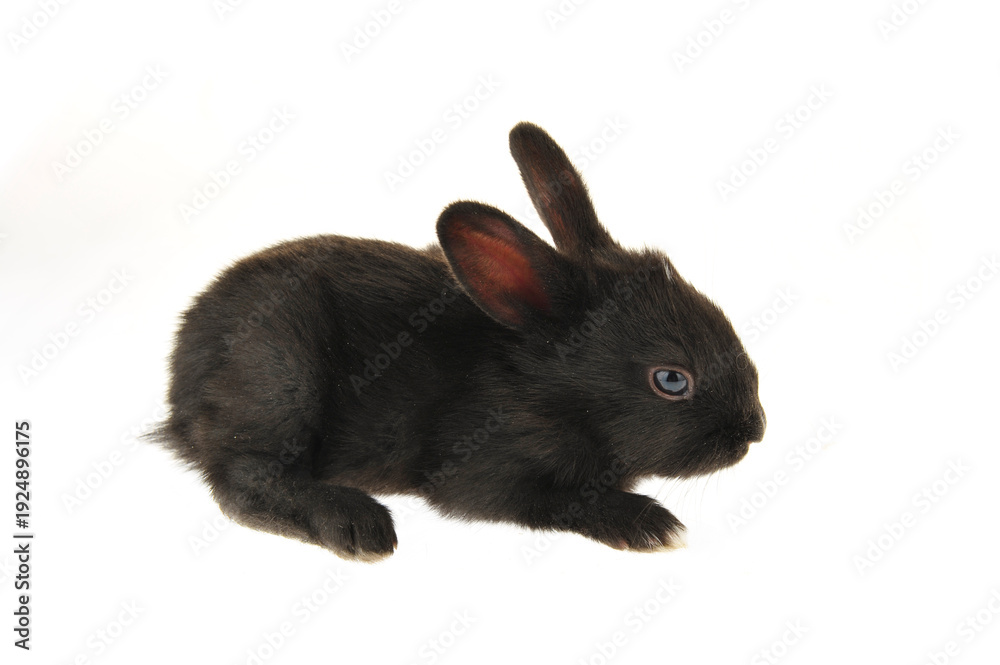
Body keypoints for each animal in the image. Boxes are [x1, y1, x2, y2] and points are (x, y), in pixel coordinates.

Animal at [154, 122, 765, 561]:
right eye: (671, 380)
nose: (753, 432)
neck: (540, 387)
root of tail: (180, 384)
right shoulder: (486, 474)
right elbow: (565, 498)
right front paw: (652, 525)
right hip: (280, 380)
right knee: (241, 481)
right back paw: (357, 525)